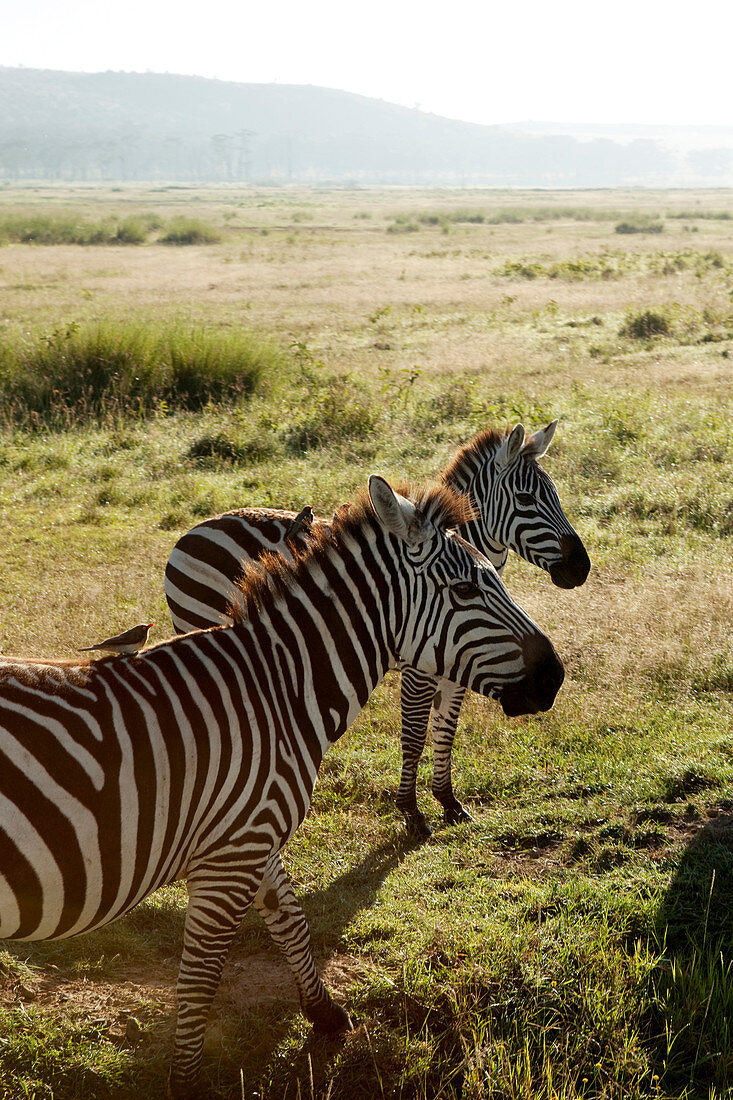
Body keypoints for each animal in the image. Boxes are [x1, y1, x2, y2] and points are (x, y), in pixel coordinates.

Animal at [0, 477, 561, 1095]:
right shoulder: (229, 855)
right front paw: (188, 1080)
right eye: (464, 588)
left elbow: (290, 919)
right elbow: (200, 978)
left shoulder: (251, 830)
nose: (555, 676)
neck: (278, 689)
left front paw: (324, 1012)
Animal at [165, 420, 589, 831]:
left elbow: (446, 728)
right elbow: (415, 735)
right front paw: (412, 812)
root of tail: (192, 531)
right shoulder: (421, 667)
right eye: (526, 499)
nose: (580, 568)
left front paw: (448, 802)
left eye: (556, 495)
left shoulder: (457, 661)